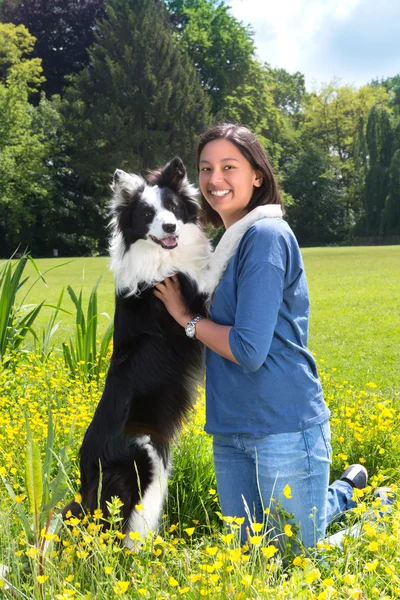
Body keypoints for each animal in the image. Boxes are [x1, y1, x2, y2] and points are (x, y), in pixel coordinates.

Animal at [62, 157, 211, 540]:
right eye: (146, 214)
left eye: (173, 207)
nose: (170, 225)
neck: (159, 255)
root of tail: (86, 471)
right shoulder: (193, 297)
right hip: (145, 466)